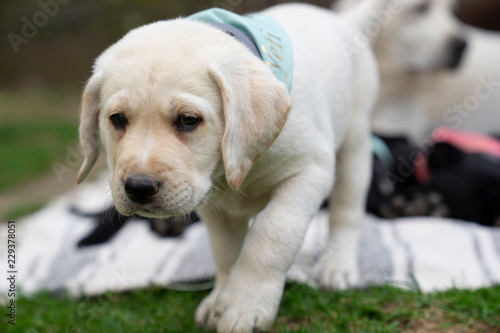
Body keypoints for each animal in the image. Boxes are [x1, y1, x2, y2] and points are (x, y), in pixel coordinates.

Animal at [76, 3, 376, 332]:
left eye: (188, 120)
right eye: (117, 119)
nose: (138, 187)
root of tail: (338, 20)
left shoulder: (309, 172)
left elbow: (272, 233)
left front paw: (246, 304)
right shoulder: (213, 203)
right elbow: (225, 251)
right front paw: (220, 298)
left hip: (354, 145)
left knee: (346, 213)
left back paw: (338, 267)